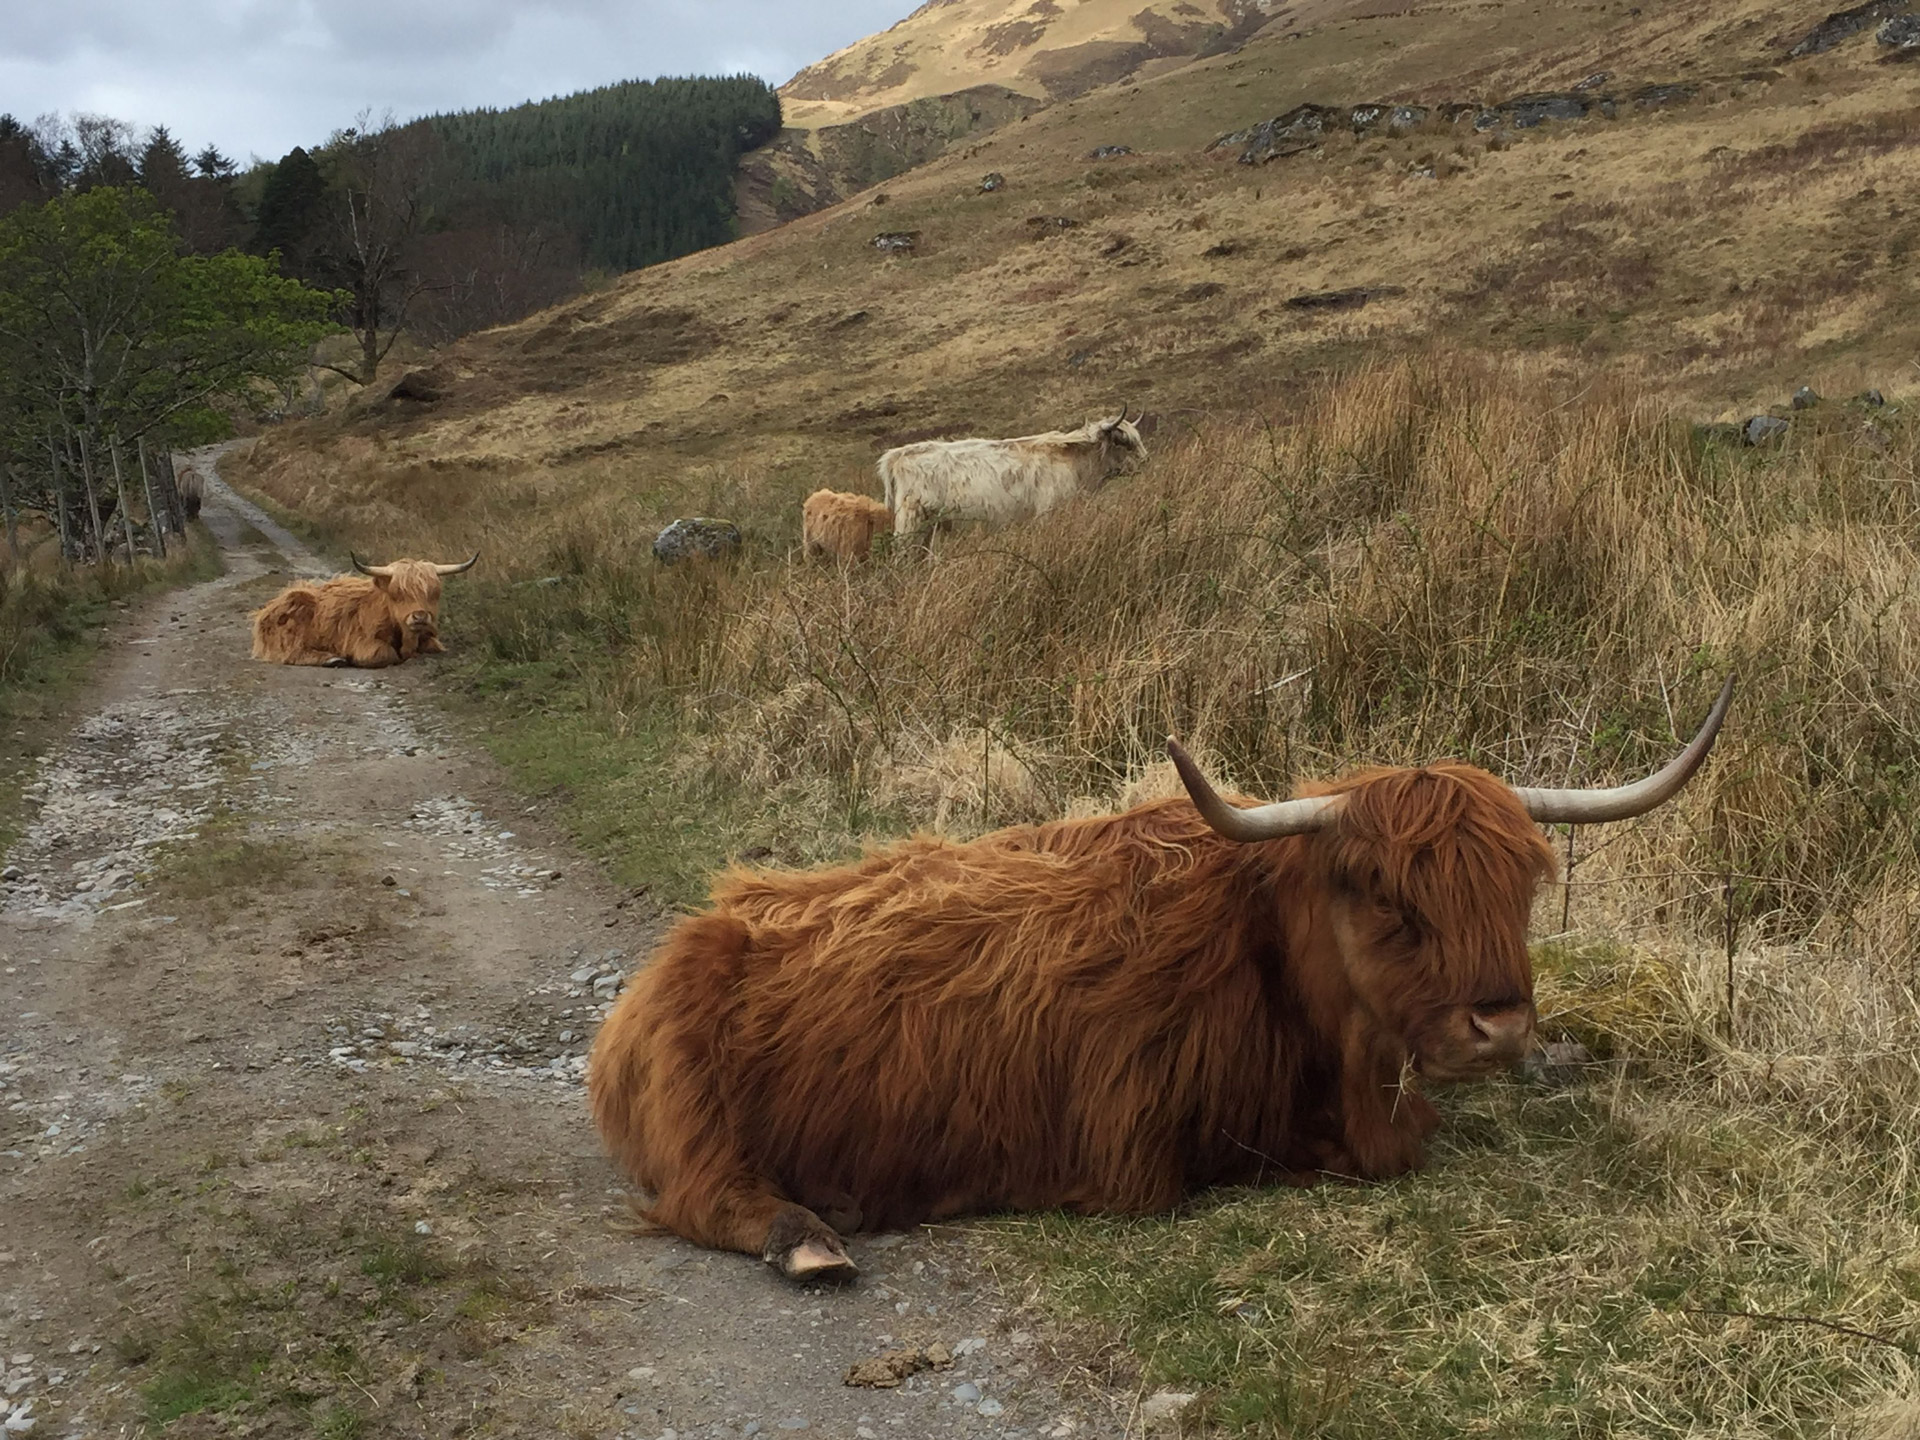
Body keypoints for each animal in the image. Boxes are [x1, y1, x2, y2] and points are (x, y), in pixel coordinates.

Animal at [249, 552, 478, 672]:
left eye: (434, 592)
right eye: (397, 593)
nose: (420, 616)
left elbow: (432, 647)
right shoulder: (363, 643)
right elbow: (385, 654)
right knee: (292, 653)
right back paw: (332, 659)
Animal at [587, 683, 1743, 1282]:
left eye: (1523, 885)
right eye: (1385, 893)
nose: (1501, 1025)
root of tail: (697, 932)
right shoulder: (1135, 1149)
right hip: (690, 1103)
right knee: (708, 1192)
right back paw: (811, 1236)